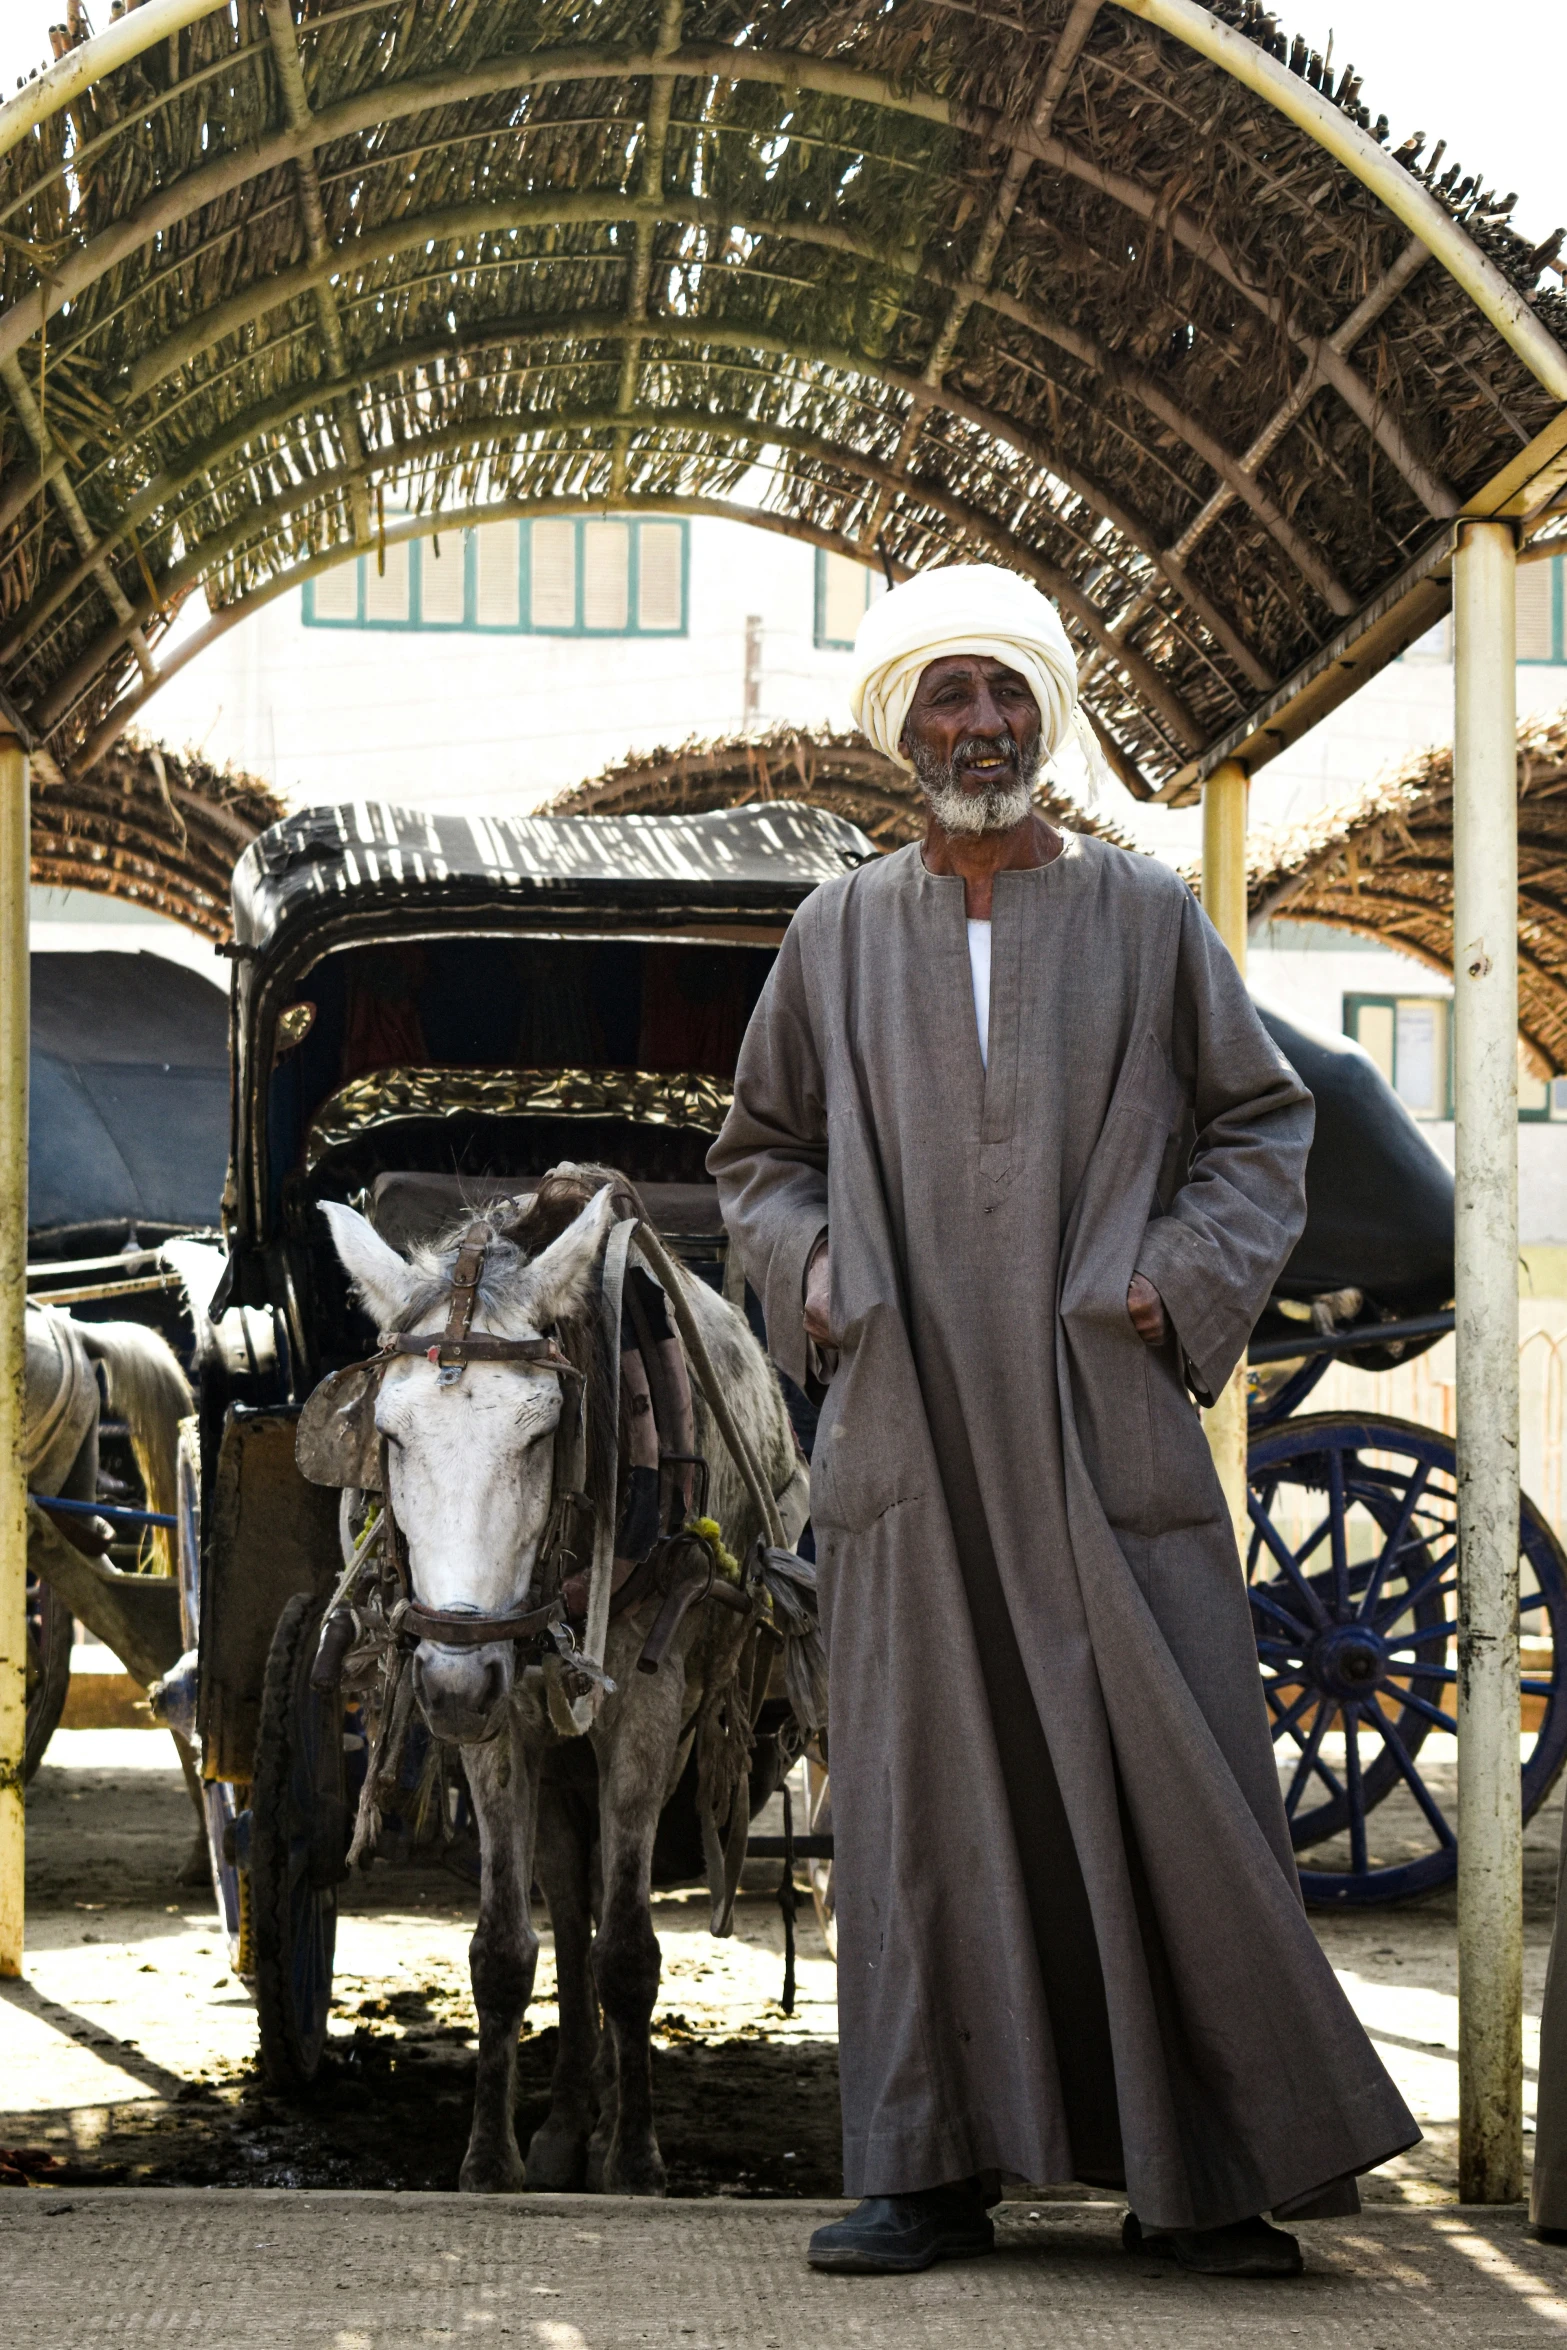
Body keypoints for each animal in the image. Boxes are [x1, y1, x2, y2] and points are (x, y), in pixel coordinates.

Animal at [319, 1165, 808, 2190]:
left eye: (543, 1437)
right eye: (389, 1434)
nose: (452, 1688)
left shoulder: (647, 1713)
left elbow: (627, 1951)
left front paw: (634, 2160)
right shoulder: (500, 1727)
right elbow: (509, 1949)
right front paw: (490, 2159)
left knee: (604, 1915)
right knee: (571, 1903)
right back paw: (566, 2124)